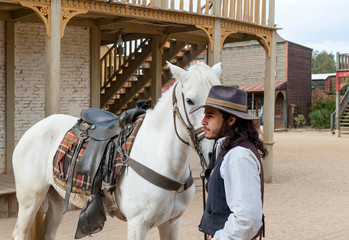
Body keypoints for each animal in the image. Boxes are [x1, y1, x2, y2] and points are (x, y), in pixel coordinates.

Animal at [12, 62, 220, 240]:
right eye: (190, 100)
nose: (214, 152)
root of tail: (34, 128)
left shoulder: (171, 223)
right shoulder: (137, 225)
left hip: (55, 199)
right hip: (30, 199)